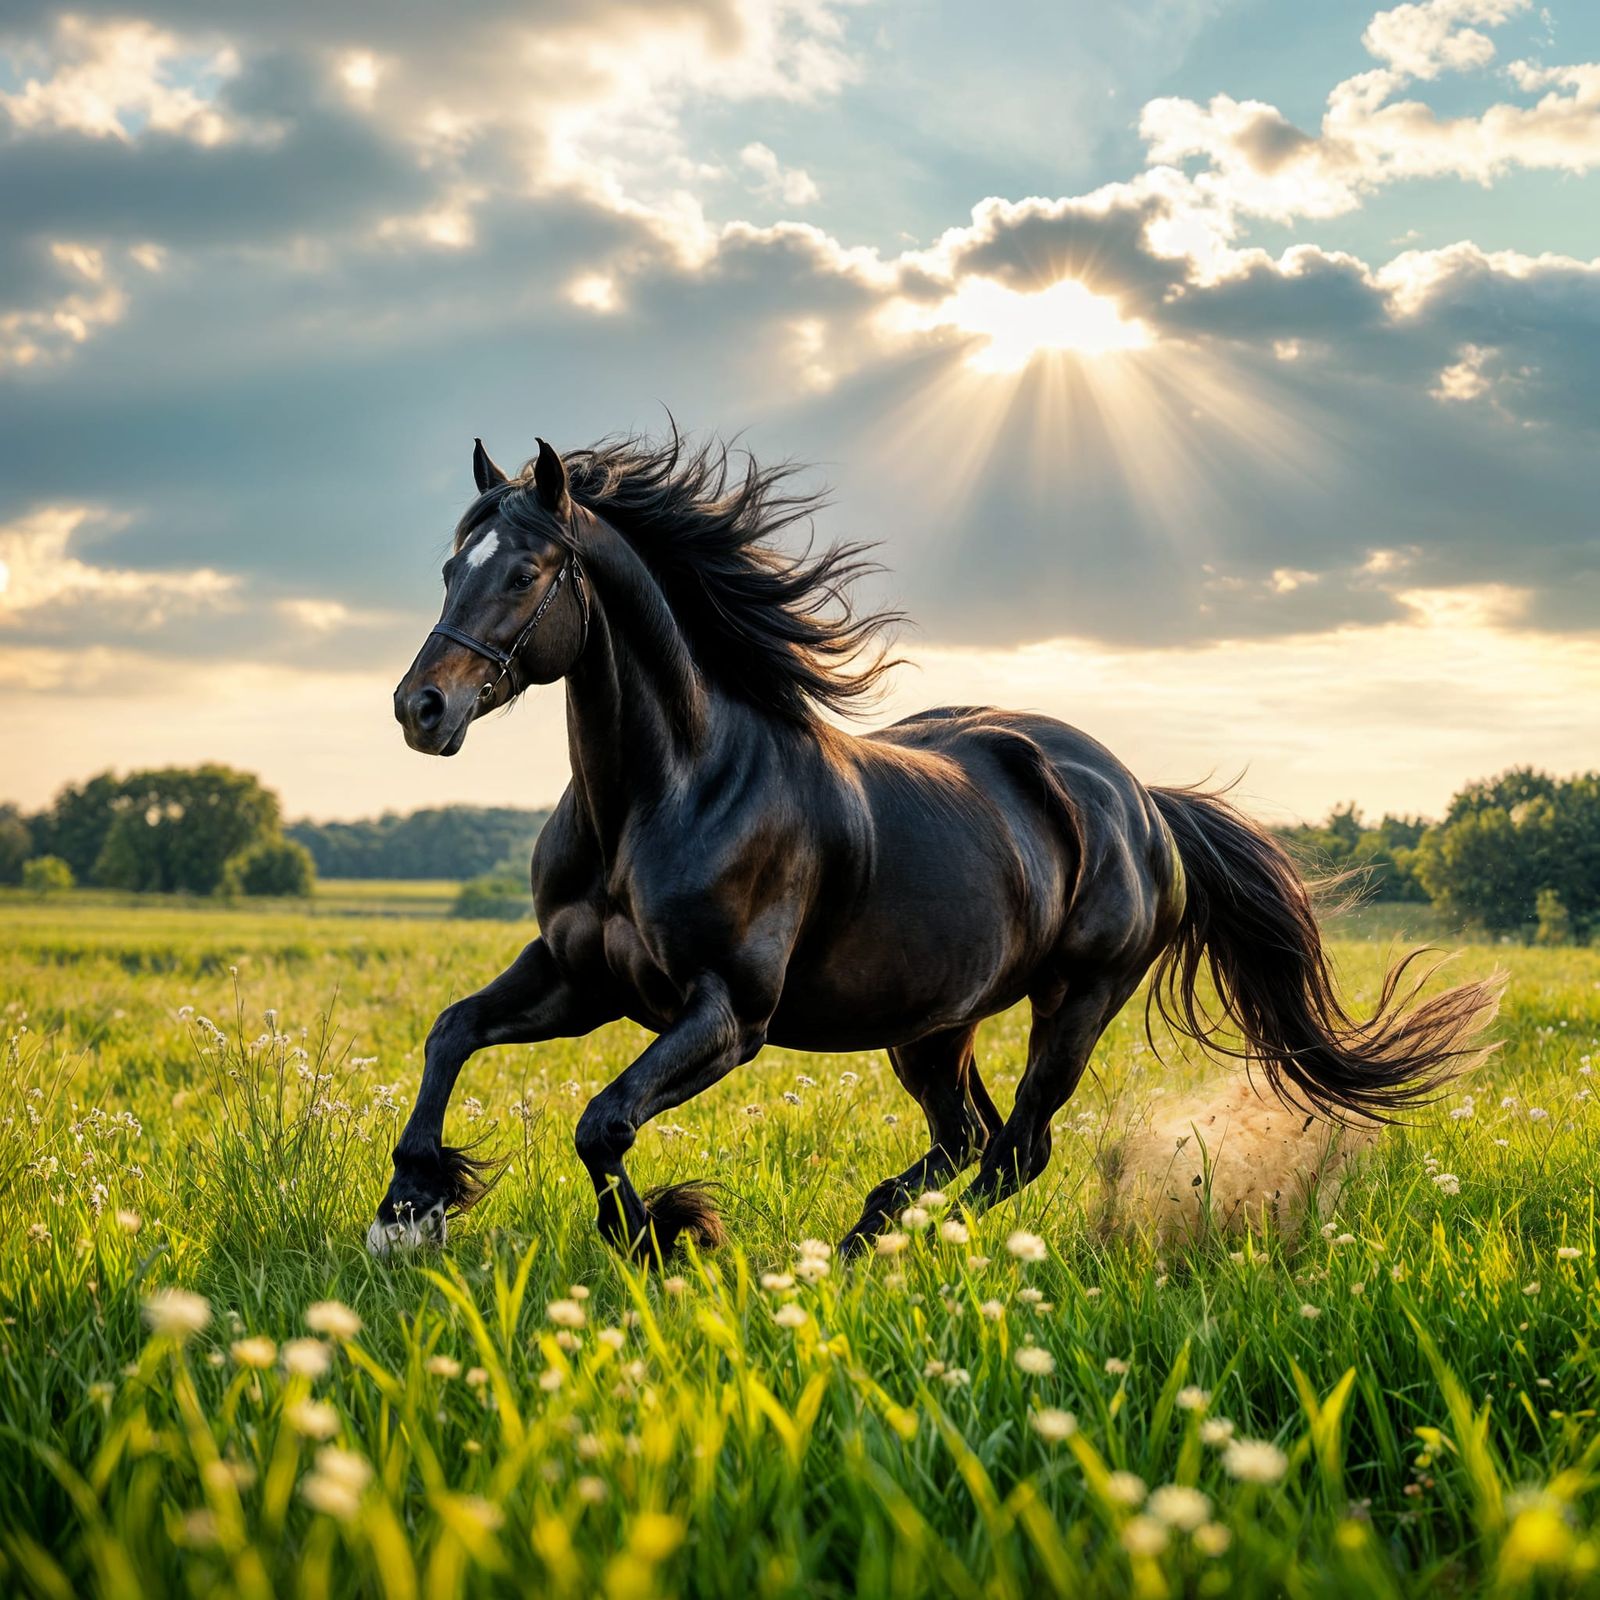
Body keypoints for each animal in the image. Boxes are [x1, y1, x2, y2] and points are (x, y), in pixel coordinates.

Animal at [369, 432, 1499, 1260]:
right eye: (448, 565)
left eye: (526, 571)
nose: (421, 710)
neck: (664, 794)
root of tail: (1141, 799)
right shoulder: (580, 977)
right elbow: (452, 1031)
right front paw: (408, 1207)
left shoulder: (727, 1013)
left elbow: (602, 1121)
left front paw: (663, 1237)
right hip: (932, 1023)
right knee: (968, 1141)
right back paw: (862, 1240)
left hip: (1074, 1003)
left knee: (1016, 1151)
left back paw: (869, 1249)